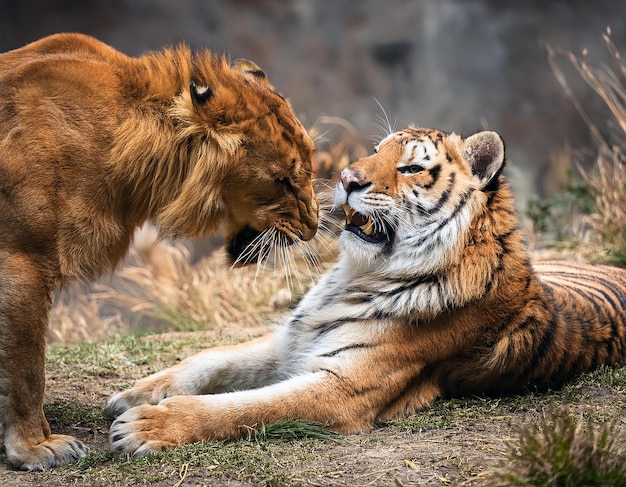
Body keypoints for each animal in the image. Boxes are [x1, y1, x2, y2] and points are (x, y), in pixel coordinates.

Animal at [103, 126, 624, 458]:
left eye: (411, 168)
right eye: (375, 151)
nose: (346, 178)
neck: (357, 275)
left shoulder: (343, 388)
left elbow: (244, 408)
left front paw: (147, 426)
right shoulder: (290, 339)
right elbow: (208, 360)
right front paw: (135, 394)